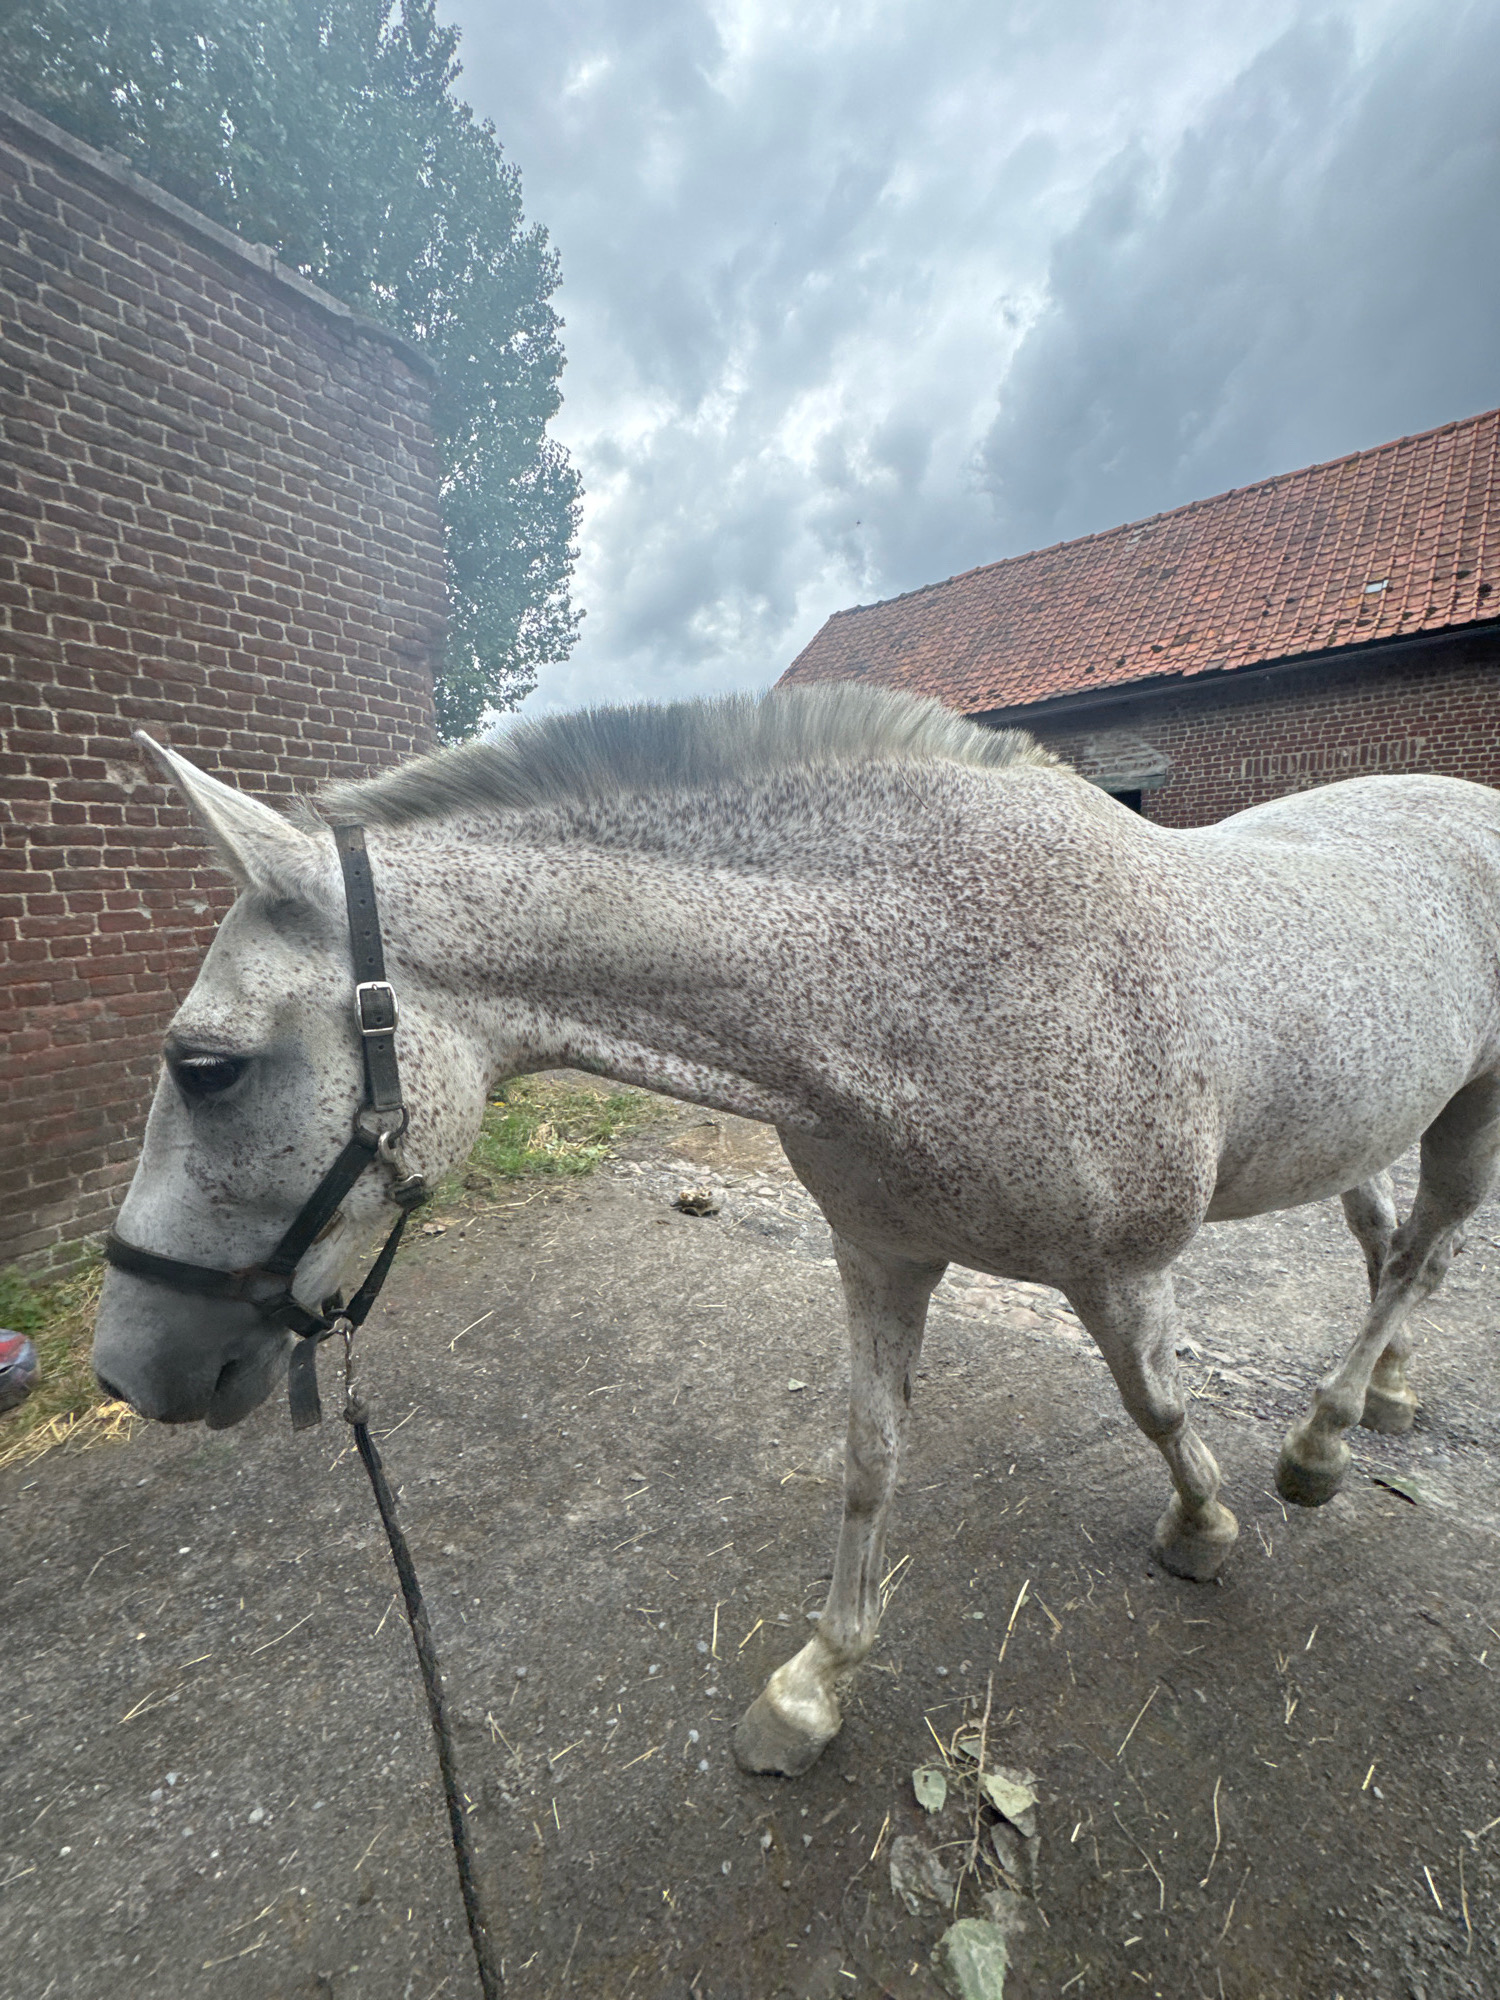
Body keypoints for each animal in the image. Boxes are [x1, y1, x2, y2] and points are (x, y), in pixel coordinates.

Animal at [92, 684, 1500, 1777]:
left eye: (205, 1067)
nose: (128, 1367)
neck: (941, 965)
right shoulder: (882, 1256)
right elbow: (870, 1455)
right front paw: (813, 1687)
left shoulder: (1121, 1270)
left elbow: (1157, 1405)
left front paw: (1203, 1530)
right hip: (1375, 1120)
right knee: (1390, 1242)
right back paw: (1384, 1388)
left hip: (1471, 1106)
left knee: (1426, 1247)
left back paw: (1321, 1438)